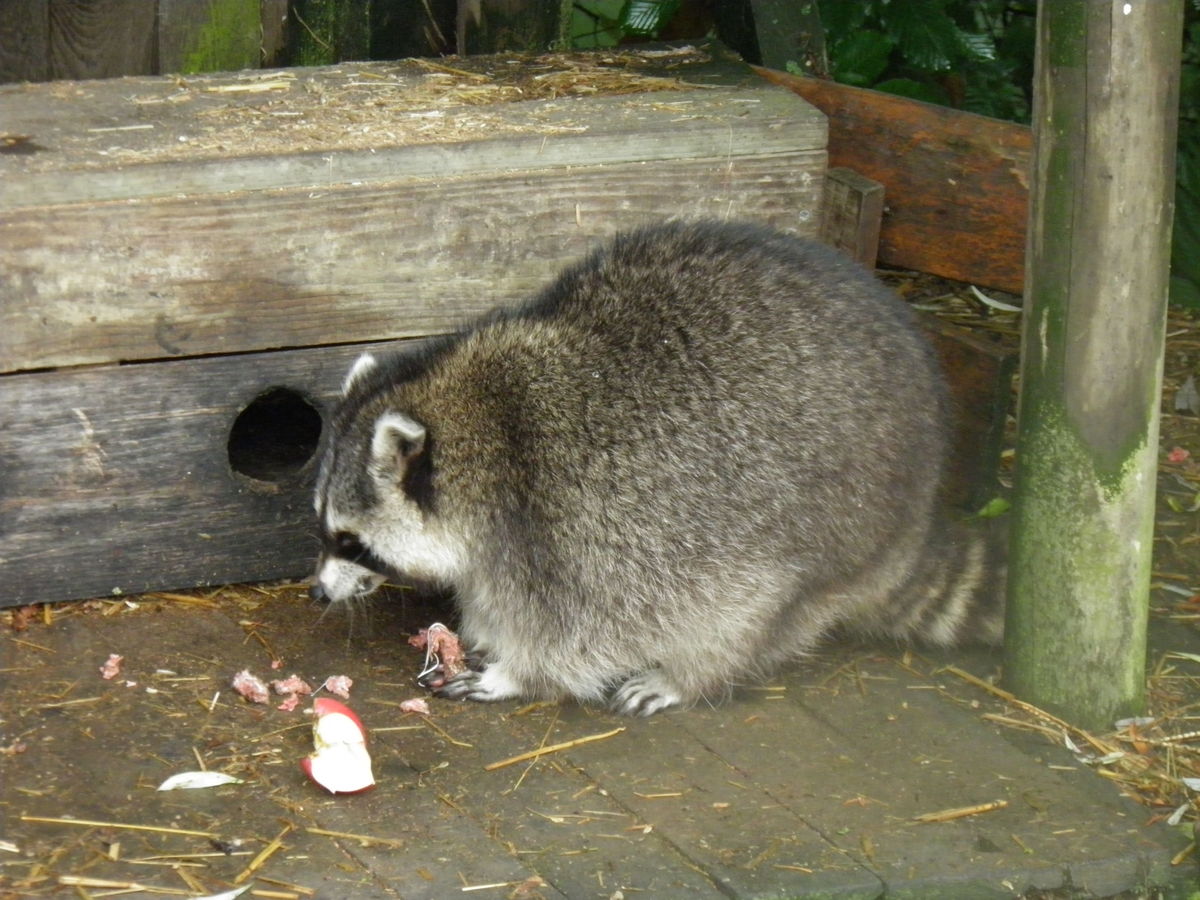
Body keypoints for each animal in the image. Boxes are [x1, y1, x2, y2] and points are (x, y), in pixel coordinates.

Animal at [312, 220, 1004, 716]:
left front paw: (520, 672)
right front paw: (481, 628)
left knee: (754, 610)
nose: (318, 592)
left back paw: (694, 674)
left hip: (836, 518)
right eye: (325, 528)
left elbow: (579, 630)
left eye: (349, 540)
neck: (471, 421)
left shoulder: (571, 517)